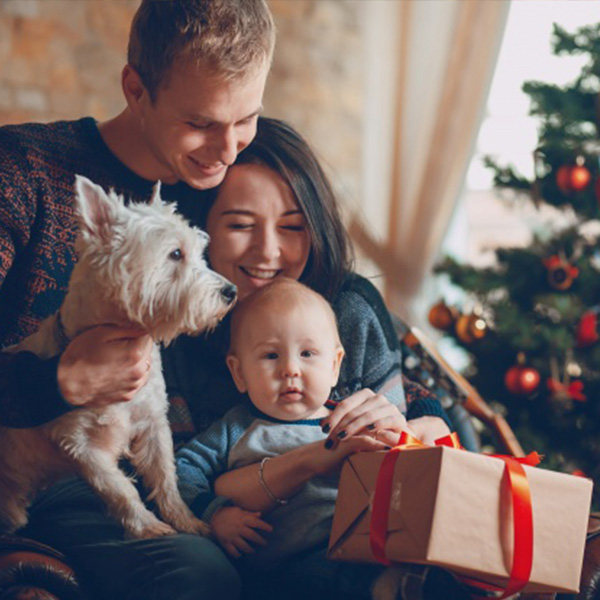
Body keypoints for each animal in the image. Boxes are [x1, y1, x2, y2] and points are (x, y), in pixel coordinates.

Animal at [0, 177, 237, 540]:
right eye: (176, 253)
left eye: (198, 252)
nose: (231, 292)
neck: (129, 339)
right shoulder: (80, 445)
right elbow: (119, 489)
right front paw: (150, 527)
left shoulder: (154, 423)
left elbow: (166, 476)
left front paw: (186, 522)